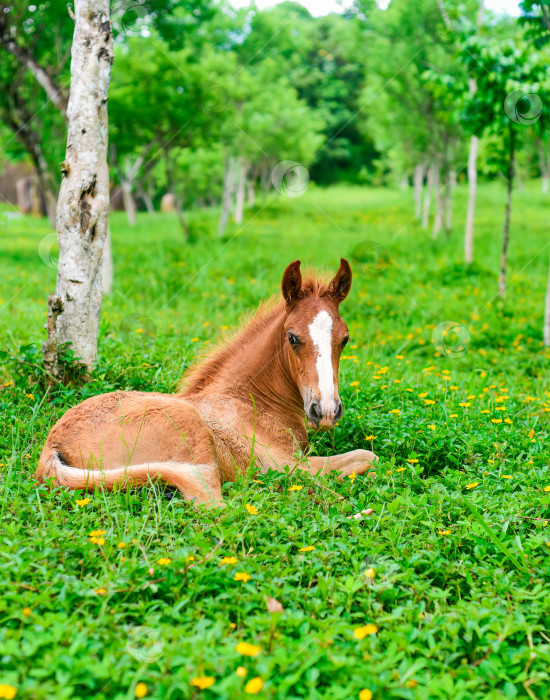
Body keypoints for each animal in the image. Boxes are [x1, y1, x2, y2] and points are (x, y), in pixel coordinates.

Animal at [36, 258, 378, 504]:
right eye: (293, 337)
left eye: (345, 339)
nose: (327, 410)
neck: (251, 403)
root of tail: (52, 445)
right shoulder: (287, 465)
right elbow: (366, 457)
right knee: (213, 504)